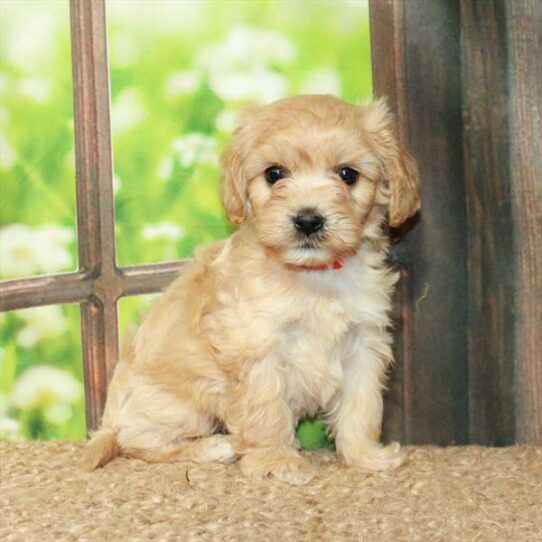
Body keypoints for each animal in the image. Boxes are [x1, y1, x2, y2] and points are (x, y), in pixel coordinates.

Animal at [83, 95, 422, 486]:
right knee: (137, 440)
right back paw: (213, 448)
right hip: (180, 406)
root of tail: (108, 417)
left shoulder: (364, 343)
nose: (308, 220)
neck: (313, 277)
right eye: (274, 174)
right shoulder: (256, 346)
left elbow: (361, 405)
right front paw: (276, 460)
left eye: (347, 175)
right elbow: (266, 409)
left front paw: (365, 456)